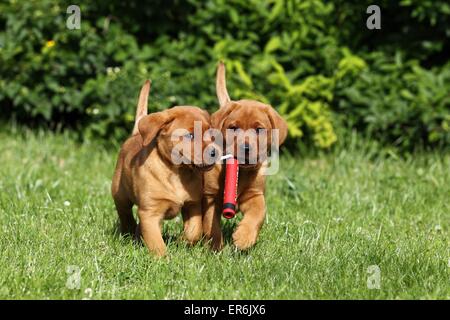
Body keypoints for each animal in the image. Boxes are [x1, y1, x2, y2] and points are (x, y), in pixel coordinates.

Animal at [111, 81, 215, 256]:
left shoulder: (192, 204)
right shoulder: (150, 212)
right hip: (120, 194)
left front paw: (182, 242)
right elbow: (156, 242)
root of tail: (135, 134)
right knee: (125, 215)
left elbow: (194, 230)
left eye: (211, 134)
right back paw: (128, 233)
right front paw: (163, 258)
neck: (177, 172)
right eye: (191, 135)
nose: (215, 152)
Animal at [202, 62, 286, 251]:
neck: (242, 173)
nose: (245, 148)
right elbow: (212, 224)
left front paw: (244, 237)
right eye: (233, 128)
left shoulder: (255, 195)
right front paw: (216, 247)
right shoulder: (210, 198)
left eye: (259, 129)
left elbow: (257, 214)